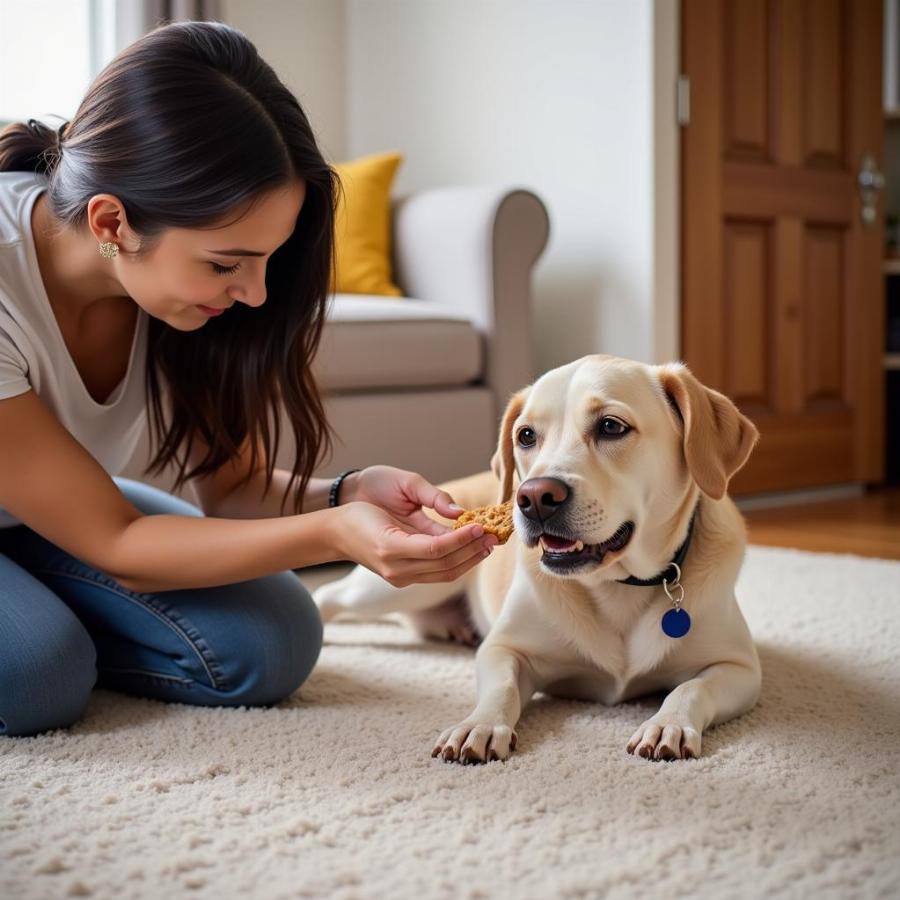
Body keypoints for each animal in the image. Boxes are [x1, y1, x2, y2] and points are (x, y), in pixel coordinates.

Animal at [312, 356, 764, 764]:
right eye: (526, 435)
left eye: (611, 426)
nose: (533, 498)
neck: (615, 584)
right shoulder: (504, 648)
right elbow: (502, 688)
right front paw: (478, 725)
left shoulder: (740, 669)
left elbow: (690, 688)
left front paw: (666, 723)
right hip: (399, 587)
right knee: (329, 596)